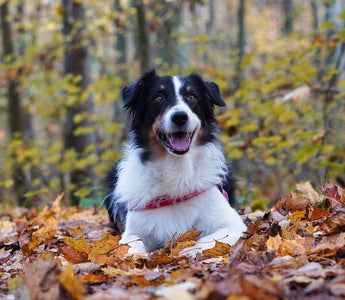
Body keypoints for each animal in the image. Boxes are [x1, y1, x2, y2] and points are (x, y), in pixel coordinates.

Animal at [103, 69, 246, 255]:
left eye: (192, 96)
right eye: (158, 98)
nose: (179, 117)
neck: (175, 167)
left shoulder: (232, 223)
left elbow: (207, 241)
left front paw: (187, 252)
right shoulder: (133, 231)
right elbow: (130, 246)